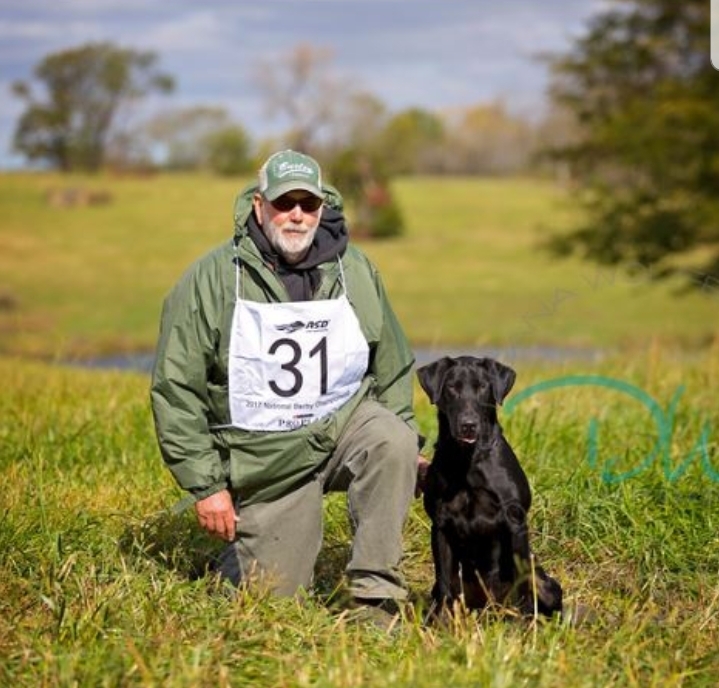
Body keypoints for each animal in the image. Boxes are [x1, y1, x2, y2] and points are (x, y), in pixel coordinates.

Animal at [420, 354, 564, 620]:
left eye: (482, 387)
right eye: (452, 387)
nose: (468, 425)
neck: (467, 460)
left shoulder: (515, 522)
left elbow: (522, 585)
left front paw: (523, 622)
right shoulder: (440, 526)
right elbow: (444, 581)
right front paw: (440, 622)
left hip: (545, 581)